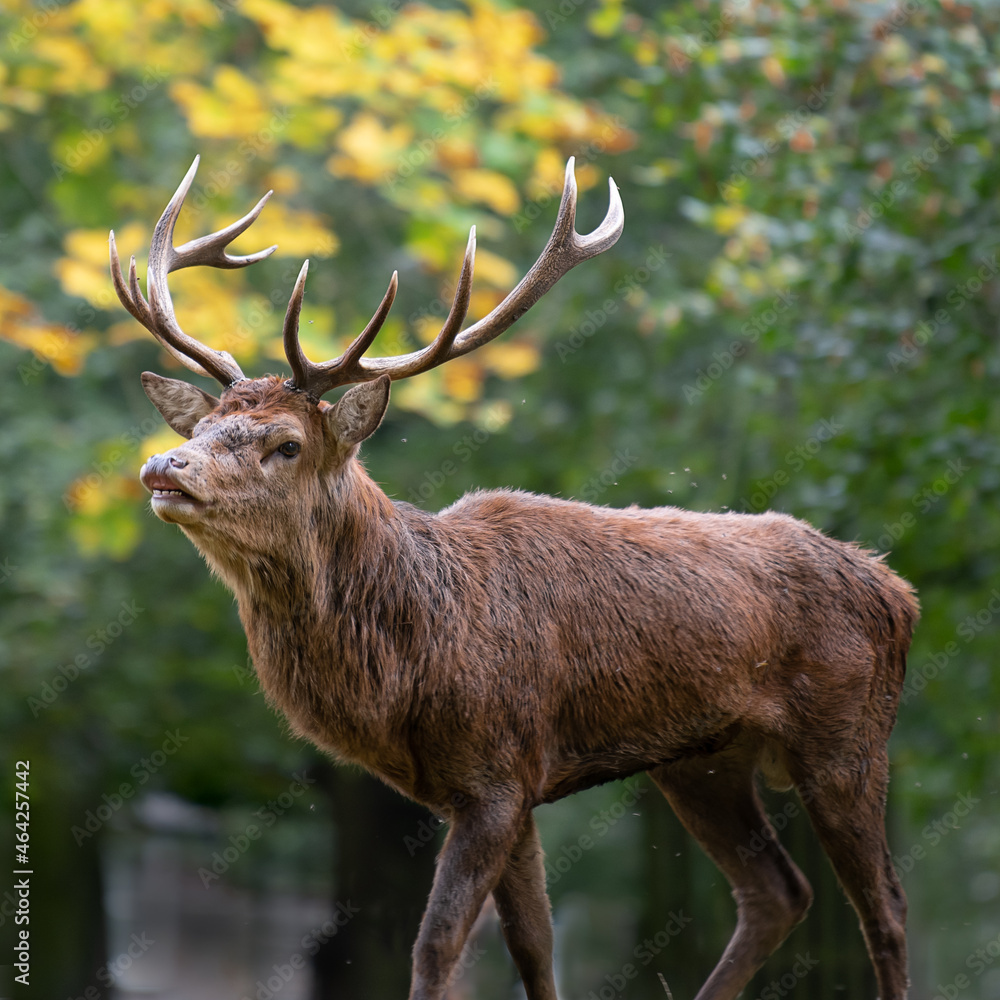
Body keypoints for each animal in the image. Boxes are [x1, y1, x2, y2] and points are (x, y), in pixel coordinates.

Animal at [111, 156, 918, 1000]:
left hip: (849, 735)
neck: (415, 658)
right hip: (704, 761)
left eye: (287, 443)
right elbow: (534, 942)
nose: (165, 466)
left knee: (886, 909)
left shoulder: (497, 771)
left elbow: (438, 944)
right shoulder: (507, 784)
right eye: (202, 427)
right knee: (777, 891)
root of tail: (898, 590)